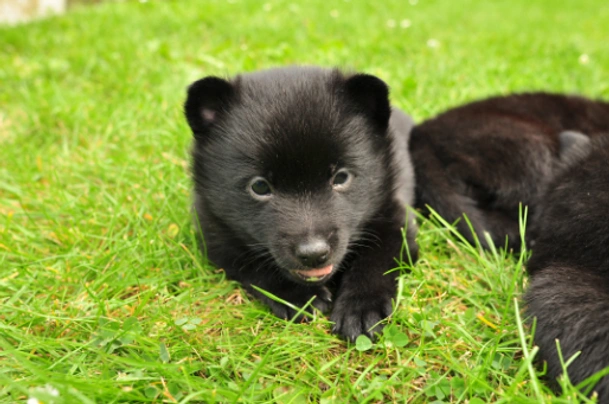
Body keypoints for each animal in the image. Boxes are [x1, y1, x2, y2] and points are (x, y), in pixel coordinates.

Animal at [183, 67, 416, 340]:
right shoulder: (214, 233)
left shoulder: (395, 220)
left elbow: (377, 260)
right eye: (259, 186)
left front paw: (361, 307)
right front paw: (298, 296)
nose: (314, 254)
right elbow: (251, 264)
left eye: (341, 178)